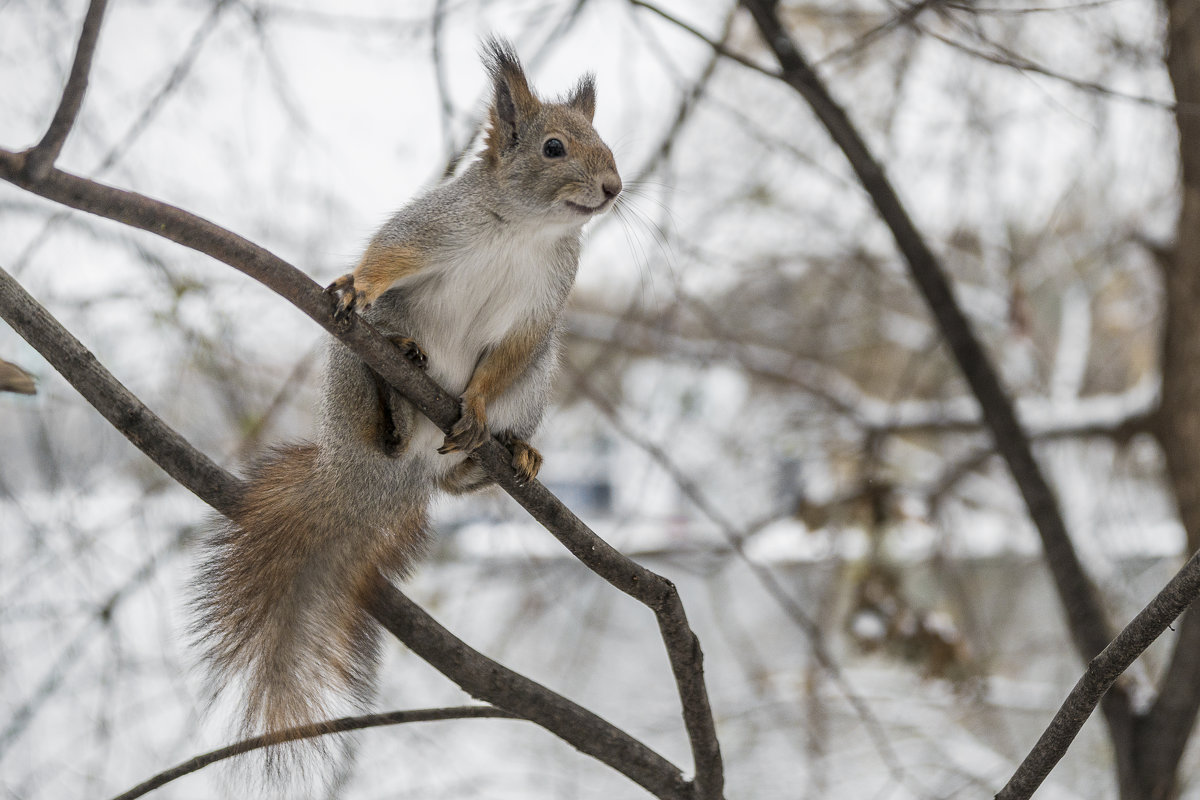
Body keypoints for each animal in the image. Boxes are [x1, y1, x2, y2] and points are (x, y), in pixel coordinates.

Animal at [192, 37, 624, 753]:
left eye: (606, 143)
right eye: (554, 147)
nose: (615, 188)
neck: (525, 230)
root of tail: (376, 473)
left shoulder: (542, 309)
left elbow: (505, 356)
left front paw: (476, 411)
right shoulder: (433, 228)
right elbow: (389, 255)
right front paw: (356, 286)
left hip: (536, 382)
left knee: (459, 477)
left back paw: (505, 456)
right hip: (353, 367)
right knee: (384, 403)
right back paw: (397, 391)